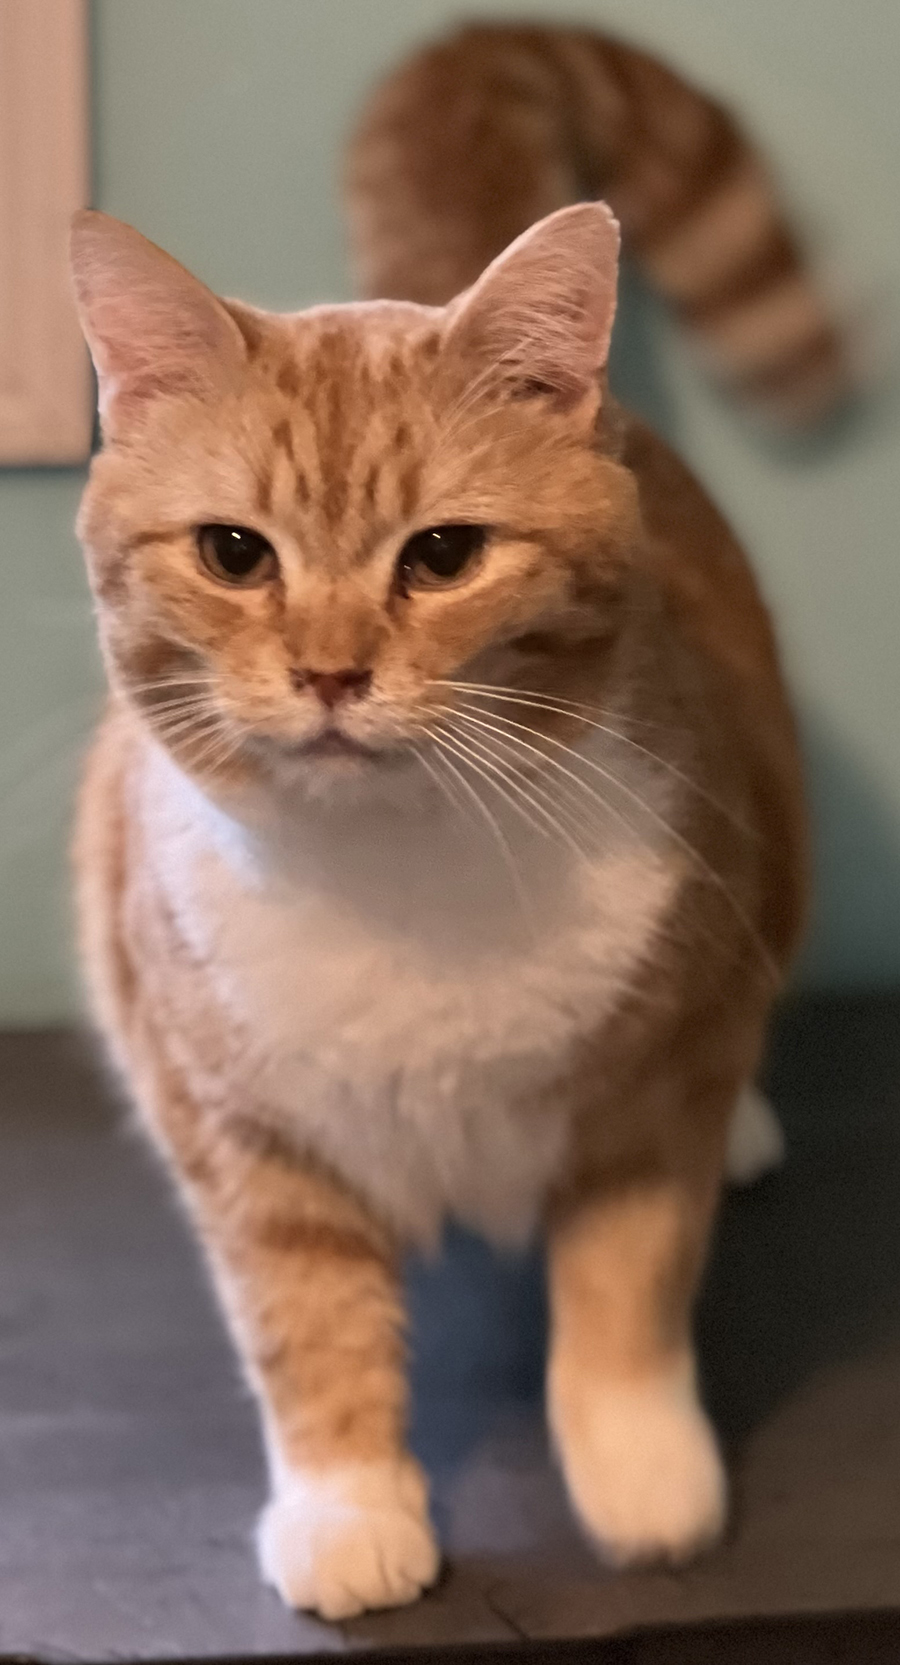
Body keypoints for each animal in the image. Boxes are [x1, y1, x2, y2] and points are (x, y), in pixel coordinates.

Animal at [69, 19, 842, 1624]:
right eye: (234, 552)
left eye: (443, 555)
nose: (330, 671)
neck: (402, 869)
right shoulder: (239, 1126)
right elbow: (304, 1323)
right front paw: (350, 1506)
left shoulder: (650, 1088)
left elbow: (625, 1287)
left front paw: (643, 1472)